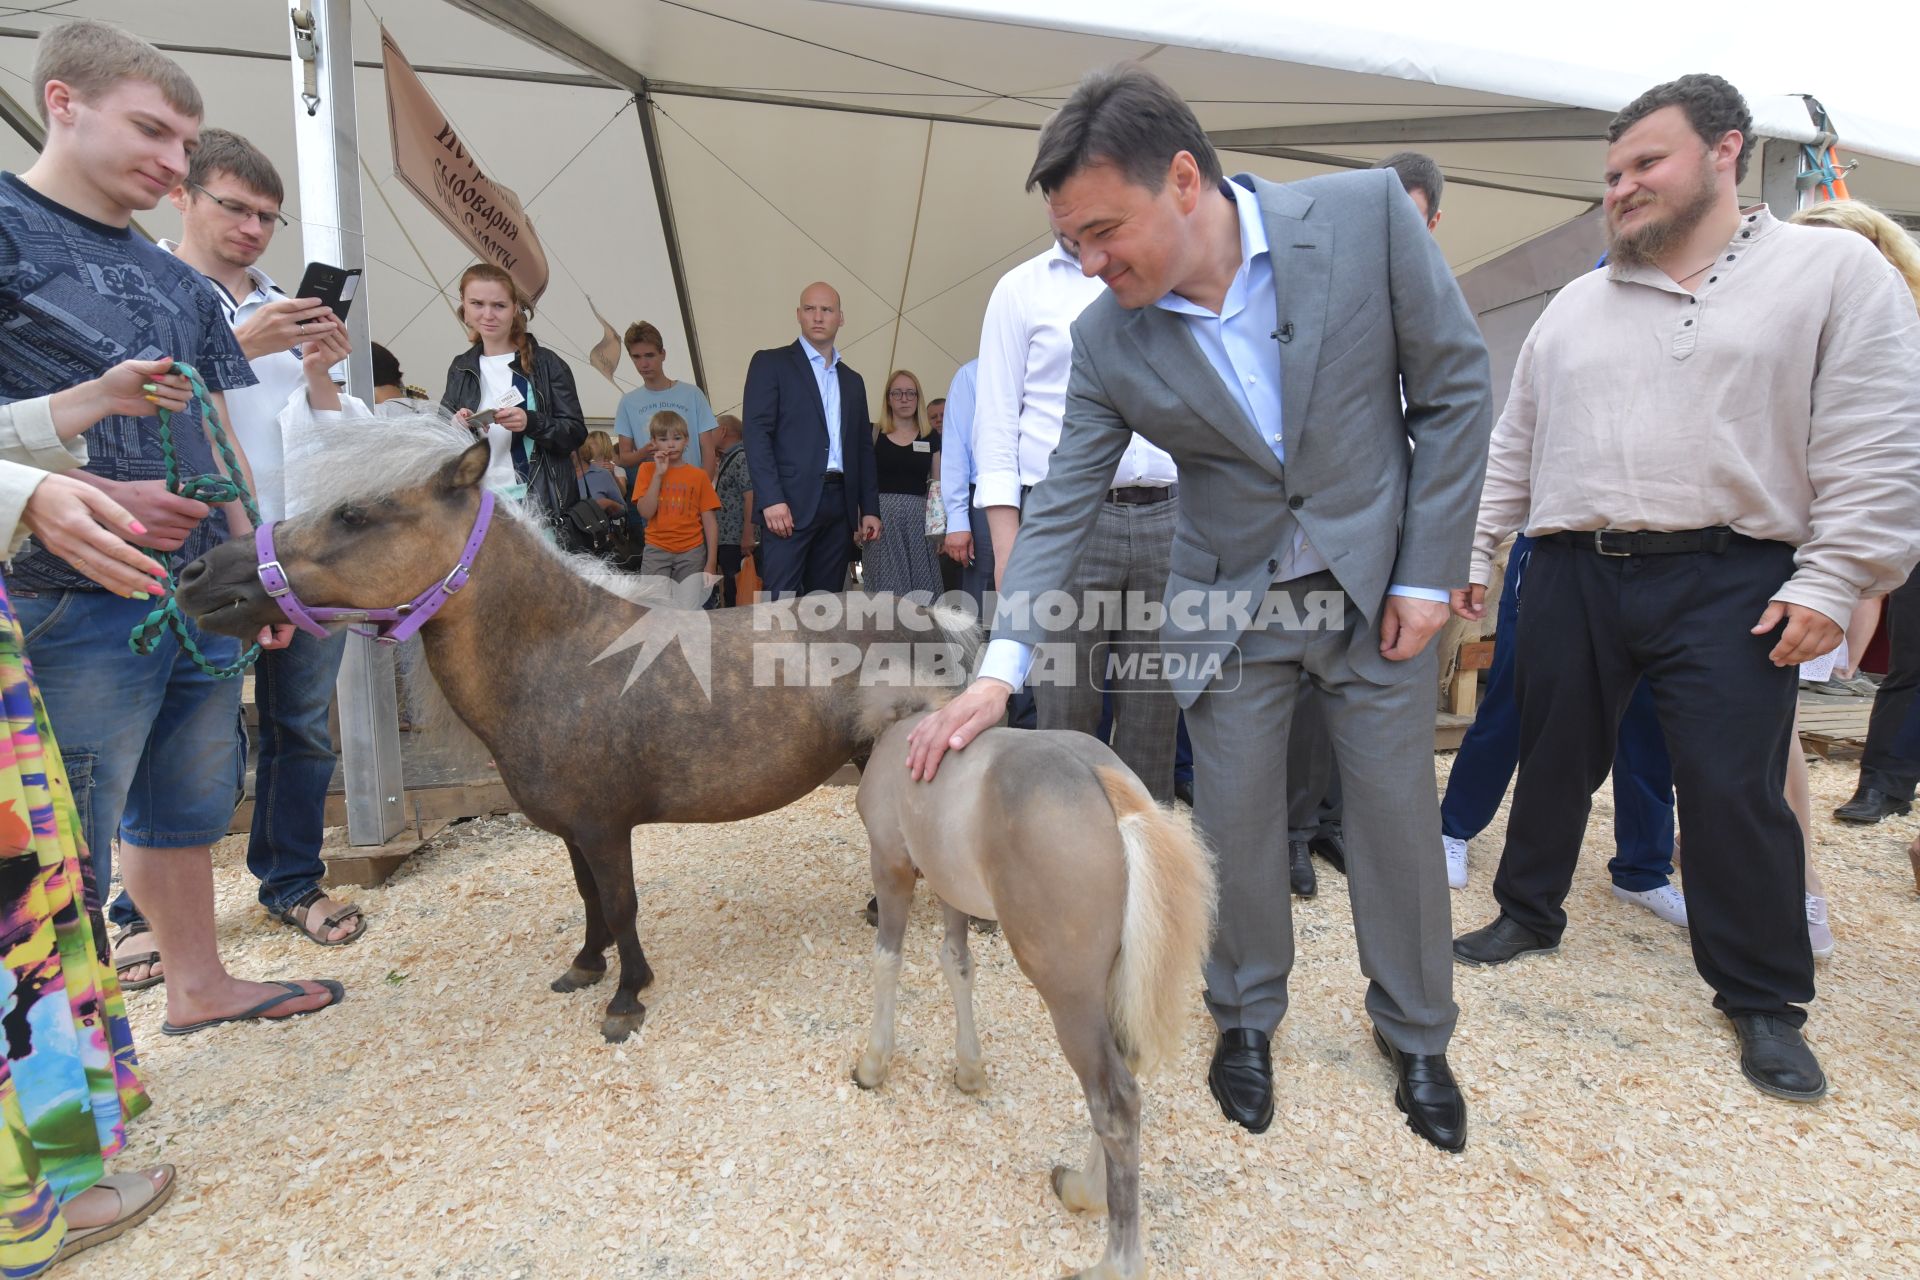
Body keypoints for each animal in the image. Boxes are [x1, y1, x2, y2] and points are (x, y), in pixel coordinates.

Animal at [178, 420, 975, 1043]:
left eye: (354, 515)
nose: (197, 573)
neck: (562, 657)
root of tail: (934, 615)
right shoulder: (570, 829)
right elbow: (590, 901)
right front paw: (587, 968)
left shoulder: (603, 825)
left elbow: (621, 904)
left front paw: (626, 999)